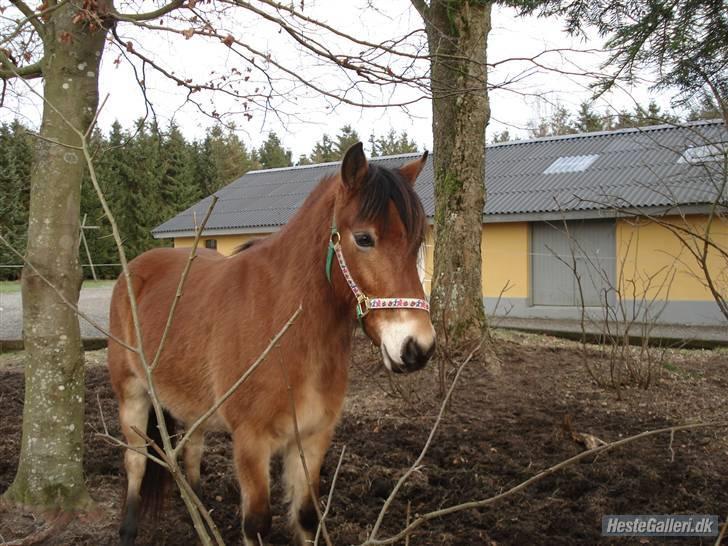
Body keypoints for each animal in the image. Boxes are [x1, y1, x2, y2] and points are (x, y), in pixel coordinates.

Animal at [107, 142, 436, 540]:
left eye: (417, 244)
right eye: (364, 238)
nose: (417, 347)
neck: (286, 330)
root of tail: (134, 269)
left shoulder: (312, 438)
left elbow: (307, 516)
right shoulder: (252, 442)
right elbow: (258, 524)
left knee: (192, 454)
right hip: (132, 394)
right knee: (136, 461)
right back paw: (128, 529)